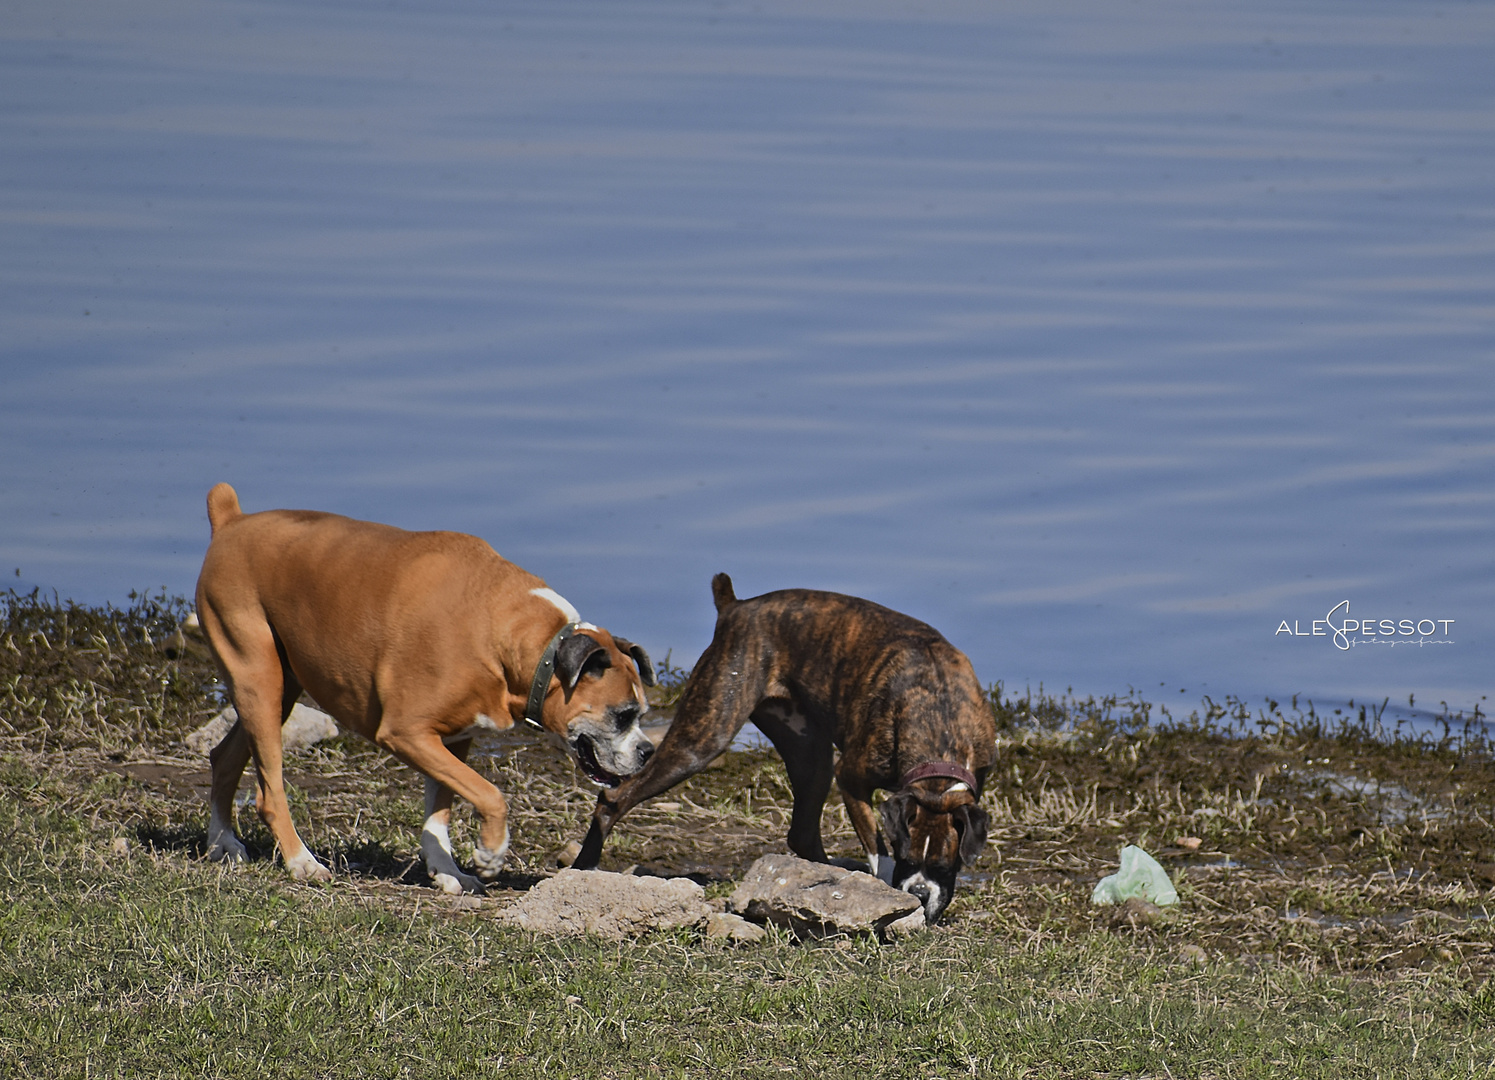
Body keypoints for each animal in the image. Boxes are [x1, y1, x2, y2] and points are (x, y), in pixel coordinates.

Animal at [191, 484, 654, 897]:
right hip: (259, 681)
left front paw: (446, 871)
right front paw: (490, 853)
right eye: (622, 715)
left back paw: (222, 843)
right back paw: (301, 862)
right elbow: (491, 794)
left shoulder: (453, 740)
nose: (647, 751)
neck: (506, 633)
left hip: (279, 689)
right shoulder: (407, 734)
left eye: (642, 714)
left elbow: (440, 812)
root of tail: (233, 521)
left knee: (224, 757)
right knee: (269, 793)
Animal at [577, 571, 998, 915]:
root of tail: (735, 607)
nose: (920, 892)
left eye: (944, 866)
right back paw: (585, 867)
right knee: (614, 797)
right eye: (908, 858)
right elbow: (878, 849)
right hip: (703, 739)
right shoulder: (851, 779)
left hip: (812, 756)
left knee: (803, 833)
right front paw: (891, 891)